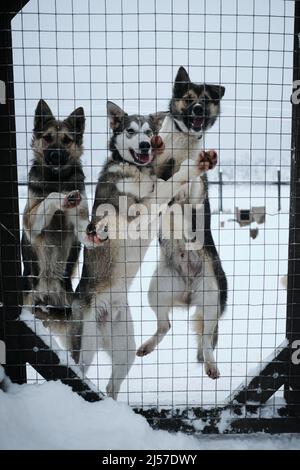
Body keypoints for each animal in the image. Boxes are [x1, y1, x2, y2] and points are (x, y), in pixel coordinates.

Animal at [21, 97, 89, 346]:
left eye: (67, 140)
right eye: (48, 137)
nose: (56, 156)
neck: (56, 178)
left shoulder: (79, 222)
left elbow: (85, 228)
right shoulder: (31, 222)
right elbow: (50, 197)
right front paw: (60, 197)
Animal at [71, 100, 216, 396]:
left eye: (149, 131)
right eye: (131, 131)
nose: (147, 145)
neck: (136, 172)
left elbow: (167, 186)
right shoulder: (137, 211)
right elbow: (168, 184)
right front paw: (192, 166)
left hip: (125, 347)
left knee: (112, 385)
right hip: (87, 344)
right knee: (81, 369)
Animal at [137, 66, 227, 380]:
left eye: (205, 100)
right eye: (188, 99)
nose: (198, 109)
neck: (183, 144)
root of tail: (188, 293)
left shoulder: (195, 196)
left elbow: (192, 178)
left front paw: (199, 161)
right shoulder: (150, 187)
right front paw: (158, 146)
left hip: (211, 297)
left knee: (207, 338)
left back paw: (211, 364)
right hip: (156, 290)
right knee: (165, 325)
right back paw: (147, 346)